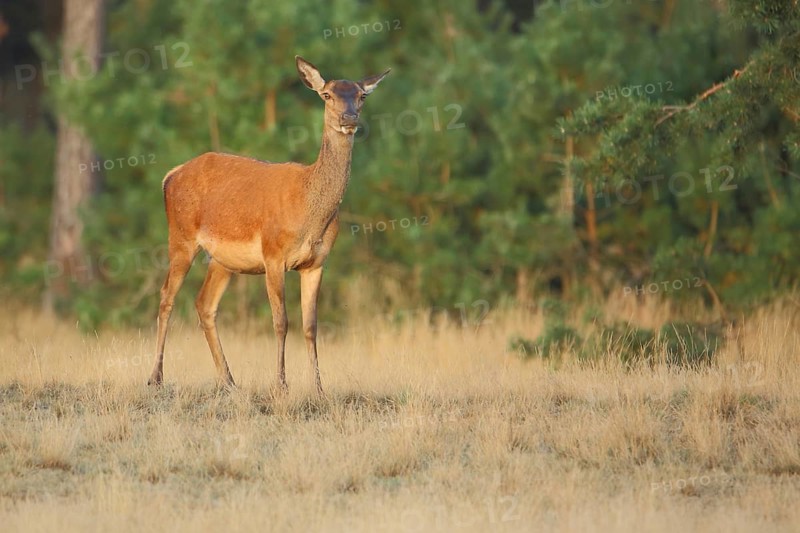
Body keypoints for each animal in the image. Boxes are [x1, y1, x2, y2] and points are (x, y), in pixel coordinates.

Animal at [147, 56, 389, 394]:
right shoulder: (273, 254)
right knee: (167, 296)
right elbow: (281, 321)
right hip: (180, 237)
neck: (308, 211)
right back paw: (155, 377)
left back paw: (229, 380)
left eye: (361, 95)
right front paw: (281, 385)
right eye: (327, 94)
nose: (349, 117)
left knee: (204, 303)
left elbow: (310, 325)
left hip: (223, 259)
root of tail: (170, 176)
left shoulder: (317, 262)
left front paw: (318, 387)